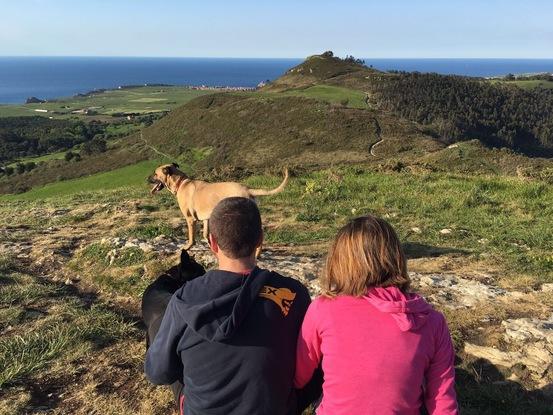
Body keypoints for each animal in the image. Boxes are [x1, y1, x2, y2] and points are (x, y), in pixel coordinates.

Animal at [150, 164, 288, 250]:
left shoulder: (190, 219)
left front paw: (188, 247)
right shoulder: (206, 218)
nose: (147, 178)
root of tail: (248, 190)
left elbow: (191, 237)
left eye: (155, 174)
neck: (181, 183)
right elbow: (206, 234)